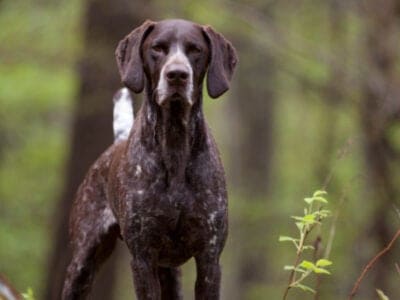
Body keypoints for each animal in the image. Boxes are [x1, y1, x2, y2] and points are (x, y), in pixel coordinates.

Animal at [62, 19, 238, 298]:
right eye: (157, 48)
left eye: (195, 50)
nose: (177, 74)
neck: (175, 144)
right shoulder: (143, 258)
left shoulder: (209, 259)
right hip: (82, 263)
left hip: (169, 273)